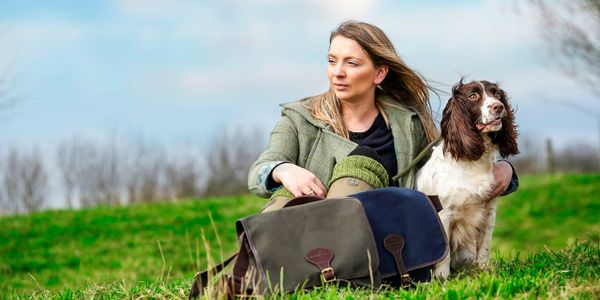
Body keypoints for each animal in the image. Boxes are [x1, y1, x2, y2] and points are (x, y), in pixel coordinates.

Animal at [414, 79, 516, 278]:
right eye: (473, 96)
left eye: (497, 94)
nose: (498, 107)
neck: (473, 161)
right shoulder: (444, 213)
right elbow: (444, 253)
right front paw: (442, 278)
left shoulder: (489, 211)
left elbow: (484, 245)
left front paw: (484, 269)